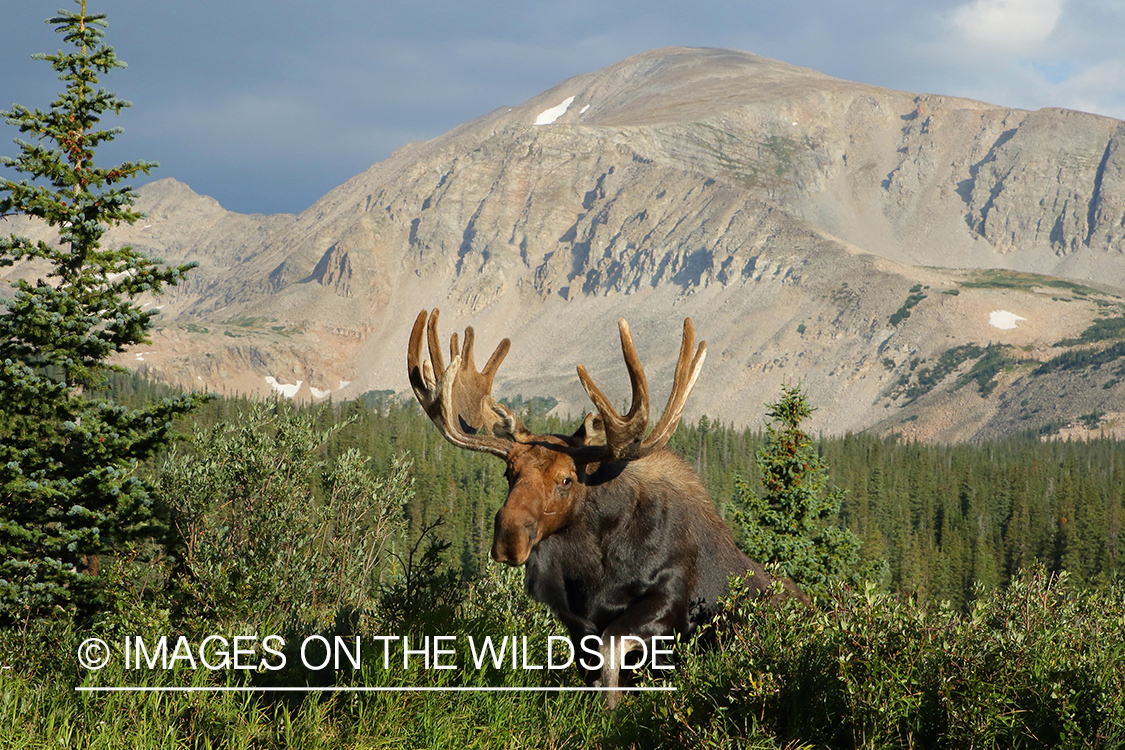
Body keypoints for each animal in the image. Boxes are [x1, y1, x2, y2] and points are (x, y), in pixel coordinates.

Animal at [409, 308, 805, 706]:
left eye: (567, 479)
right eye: (510, 472)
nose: (508, 536)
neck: (592, 569)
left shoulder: (673, 601)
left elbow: (611, 648)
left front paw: (611, 708)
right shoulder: (574, 619)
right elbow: (592, 663)